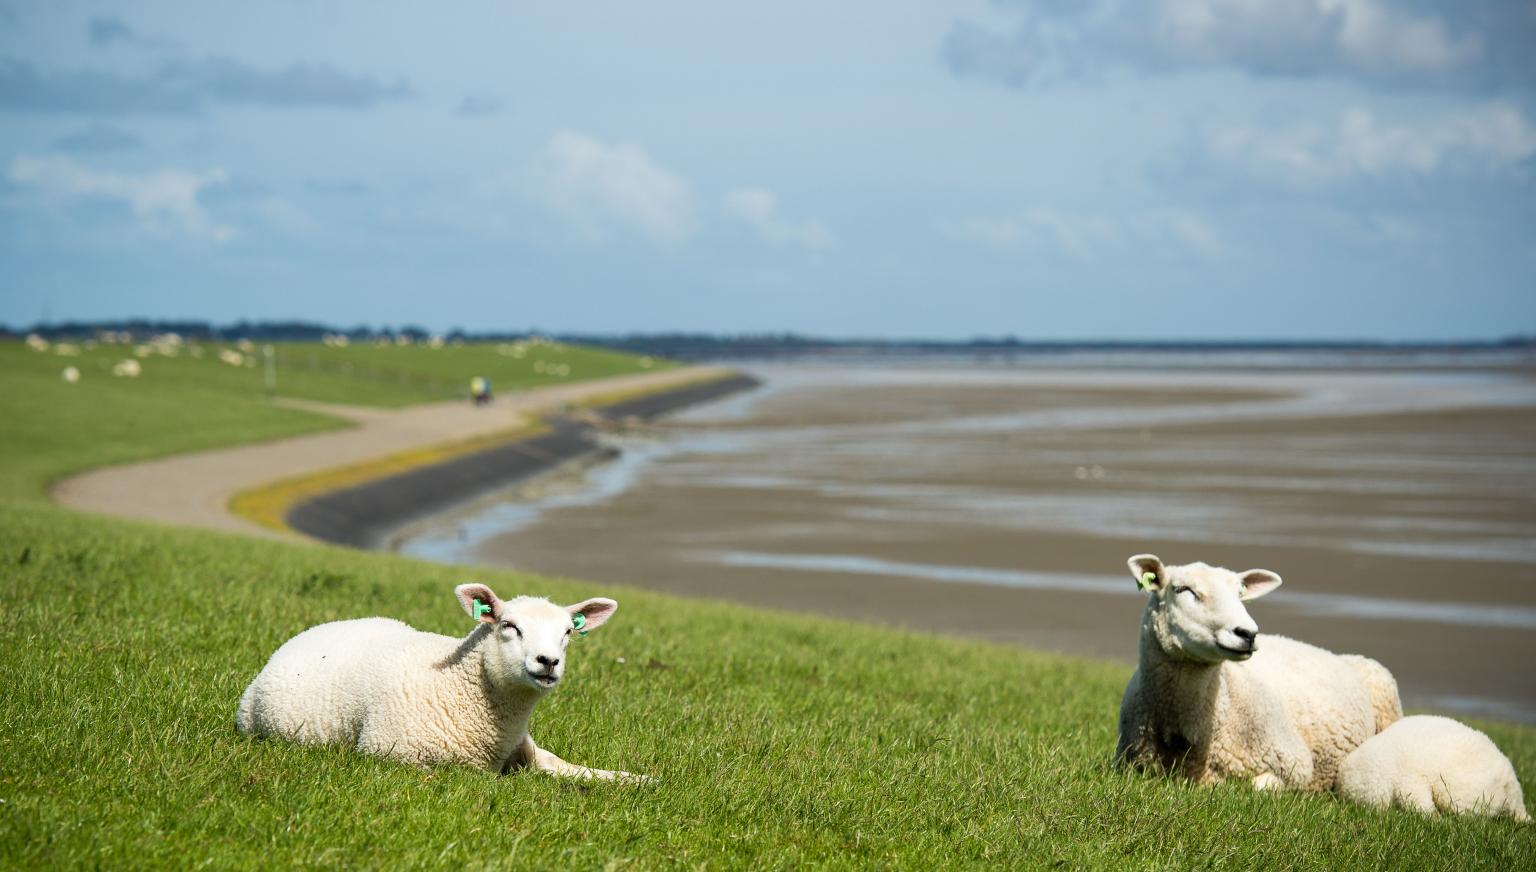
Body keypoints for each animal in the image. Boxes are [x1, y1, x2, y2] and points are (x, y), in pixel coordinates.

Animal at [231, 583, 642, 779]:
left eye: (568, 633)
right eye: (508, 626)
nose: (548, 662)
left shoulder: (526, 749)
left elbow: (573, 768)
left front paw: (637, 780)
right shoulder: (390, 754)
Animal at [1118, 555, 1406, 792]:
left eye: (1240, 593)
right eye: (1183, 589)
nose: (1247, 633)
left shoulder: (1296, 764)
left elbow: (1256, 787)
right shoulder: (1132, 766)